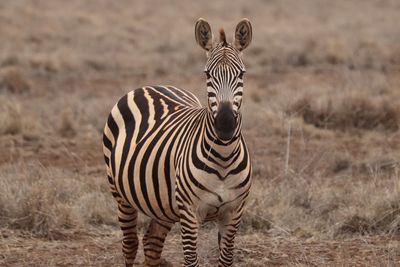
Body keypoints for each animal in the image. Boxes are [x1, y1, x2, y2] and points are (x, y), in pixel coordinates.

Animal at [103, 17, 253, 266]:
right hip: (120, 193)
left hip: (163, 204)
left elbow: (226, 260)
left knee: (151, 243)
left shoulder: (233, 213)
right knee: (130, 245)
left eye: (241, 74)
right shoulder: (190, 213)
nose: (225, 125)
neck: (223, 155)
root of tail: (151, 86)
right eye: (207, 74)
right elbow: (191, 260)